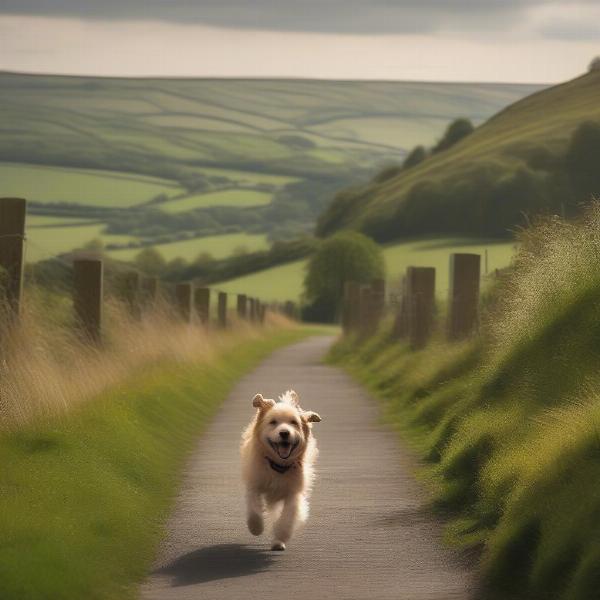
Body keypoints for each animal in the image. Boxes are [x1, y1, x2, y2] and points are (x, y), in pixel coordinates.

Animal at [240, 392, 324, 552]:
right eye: (273, 422)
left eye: (294, 422)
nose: (284, 433)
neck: (278, 467)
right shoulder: (254, 482)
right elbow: (254, 508)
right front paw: (256, 527)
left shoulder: (293, 491)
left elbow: (288, 516)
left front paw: (280, 535)